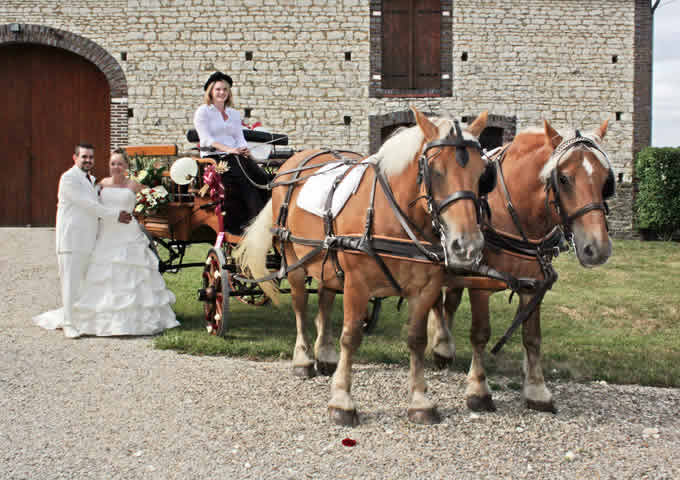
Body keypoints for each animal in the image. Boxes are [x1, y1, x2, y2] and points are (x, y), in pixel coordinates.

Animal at [236, 108, 492, 424]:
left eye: (482, 174)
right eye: (435, 170)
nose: (467, 245)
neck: (393, 216)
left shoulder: (425, 287)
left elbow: (417, 339)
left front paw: (420, 399)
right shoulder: (357, 283)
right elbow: (351, 336)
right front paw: (342, 400)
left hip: (327, 261)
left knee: (324, 300)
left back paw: (325, 354)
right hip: (293, 259)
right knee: (300, 306)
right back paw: (304, 359)